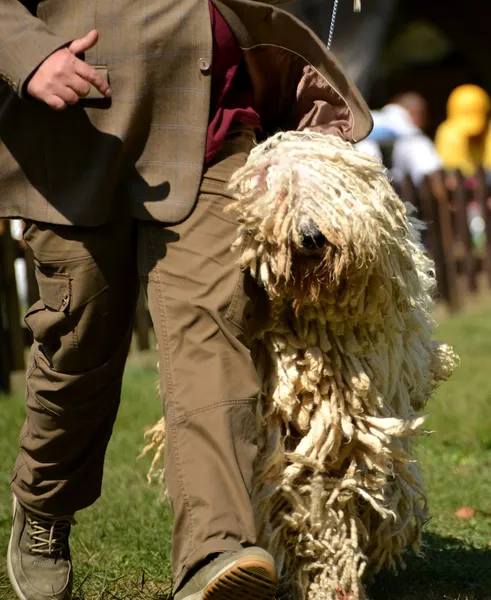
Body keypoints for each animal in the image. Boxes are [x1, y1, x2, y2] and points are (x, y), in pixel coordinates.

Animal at [141, 131, 458, 600]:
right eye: (279, 195)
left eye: (333, 194)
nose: (311, 236)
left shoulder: (345, 424)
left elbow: (336, 488)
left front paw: (334, 576)